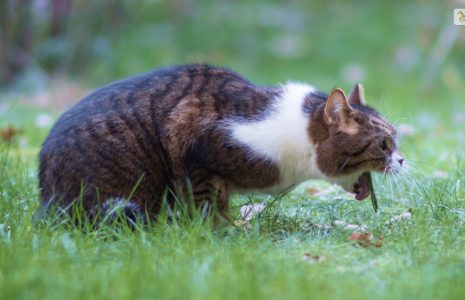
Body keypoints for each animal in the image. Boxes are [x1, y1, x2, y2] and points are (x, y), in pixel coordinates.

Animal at [39, 63, 402, 223]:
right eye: (384, 144)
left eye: (396, 141)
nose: (401, 159)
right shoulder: (193, 145)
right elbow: (208, 203)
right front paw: (223, 232)